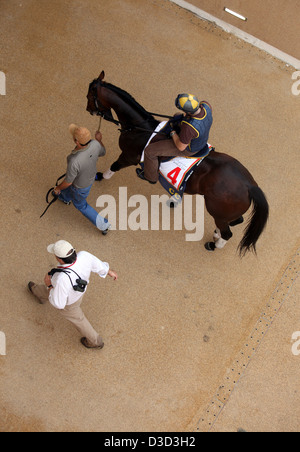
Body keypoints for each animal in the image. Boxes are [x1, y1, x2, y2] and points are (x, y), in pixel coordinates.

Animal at [85, 70, 268, 254]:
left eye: (89, 96)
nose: (88, 110)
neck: (140, 128)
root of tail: (249, 185)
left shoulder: (128, 156)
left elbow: (113, 167)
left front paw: (99, 176)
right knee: (237, 220)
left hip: (215, 209)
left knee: (227, 232)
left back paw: (214, 244)